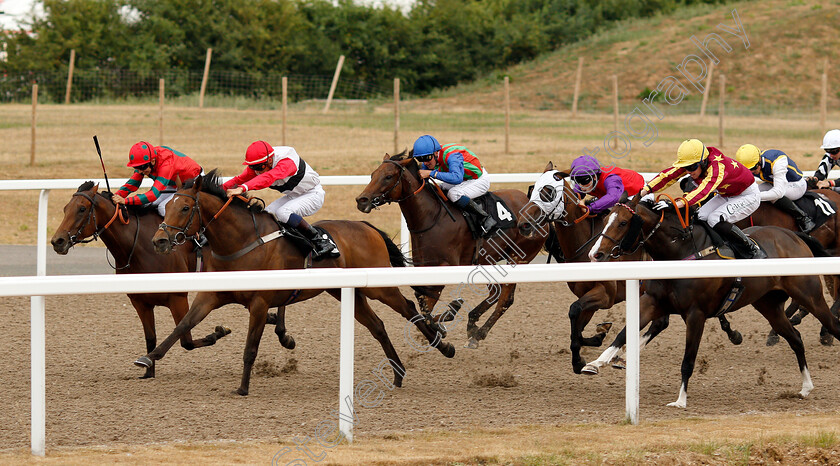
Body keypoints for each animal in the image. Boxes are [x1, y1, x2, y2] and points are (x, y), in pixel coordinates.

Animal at [50, 182, 231, 378]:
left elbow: (186, 340)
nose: (57, 241)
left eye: (82, 209)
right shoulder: (140, 302)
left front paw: (219, 332)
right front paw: (148, 373)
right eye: (65, 208)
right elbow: (151, 338)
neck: (138, 247)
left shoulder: (178, 298)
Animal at [144, 169, 452, 396]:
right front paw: (149, 357)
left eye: (185, 207)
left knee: (408, 307)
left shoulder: (260, 302)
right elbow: (183, 325)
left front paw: (243, 388)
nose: (159, 241)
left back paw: (443, 345)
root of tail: (367, 227)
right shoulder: (211, 295)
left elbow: (250, 348)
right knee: (377, 325)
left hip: (378, 286)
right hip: (346, 292)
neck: (241, 241)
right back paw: (398, 374)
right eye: (167, 207)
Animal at [352, 151, 544, 348]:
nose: (362, 200)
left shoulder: (446, 266)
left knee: (505, 298)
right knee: (495, 292)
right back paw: (472, 322)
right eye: (373, 174)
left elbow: (426, 308)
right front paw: (440, 325)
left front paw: (445, 319)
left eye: (388, 176)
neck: (431, 217)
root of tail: (534, 205)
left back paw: (479, 333)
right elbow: (422, 303)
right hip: (488, 259)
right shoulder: (423, 267)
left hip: (518, 257)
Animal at [584, 196, 840, 408]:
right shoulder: (653, 301)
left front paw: (680, 400)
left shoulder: (695, 314)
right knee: (795, 339)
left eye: (623, 223)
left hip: (810, 295)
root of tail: (794, 235)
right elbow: (624, 332)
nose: (595, 254)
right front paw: (597, 362)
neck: (680, 253)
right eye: (605, 219)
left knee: (832, 325)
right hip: (769, 306)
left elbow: (688, 359)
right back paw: (805, 387)